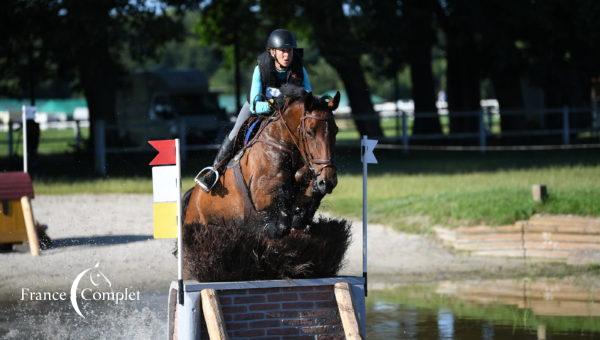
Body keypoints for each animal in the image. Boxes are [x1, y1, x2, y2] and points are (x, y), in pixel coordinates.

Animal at [183, 85, 340, 238]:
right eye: (309, 132)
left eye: (336, 130)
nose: (328, 180)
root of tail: (192, 197)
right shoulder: (261, 196)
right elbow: (280, 213)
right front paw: (269, 227)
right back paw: (208, 179)